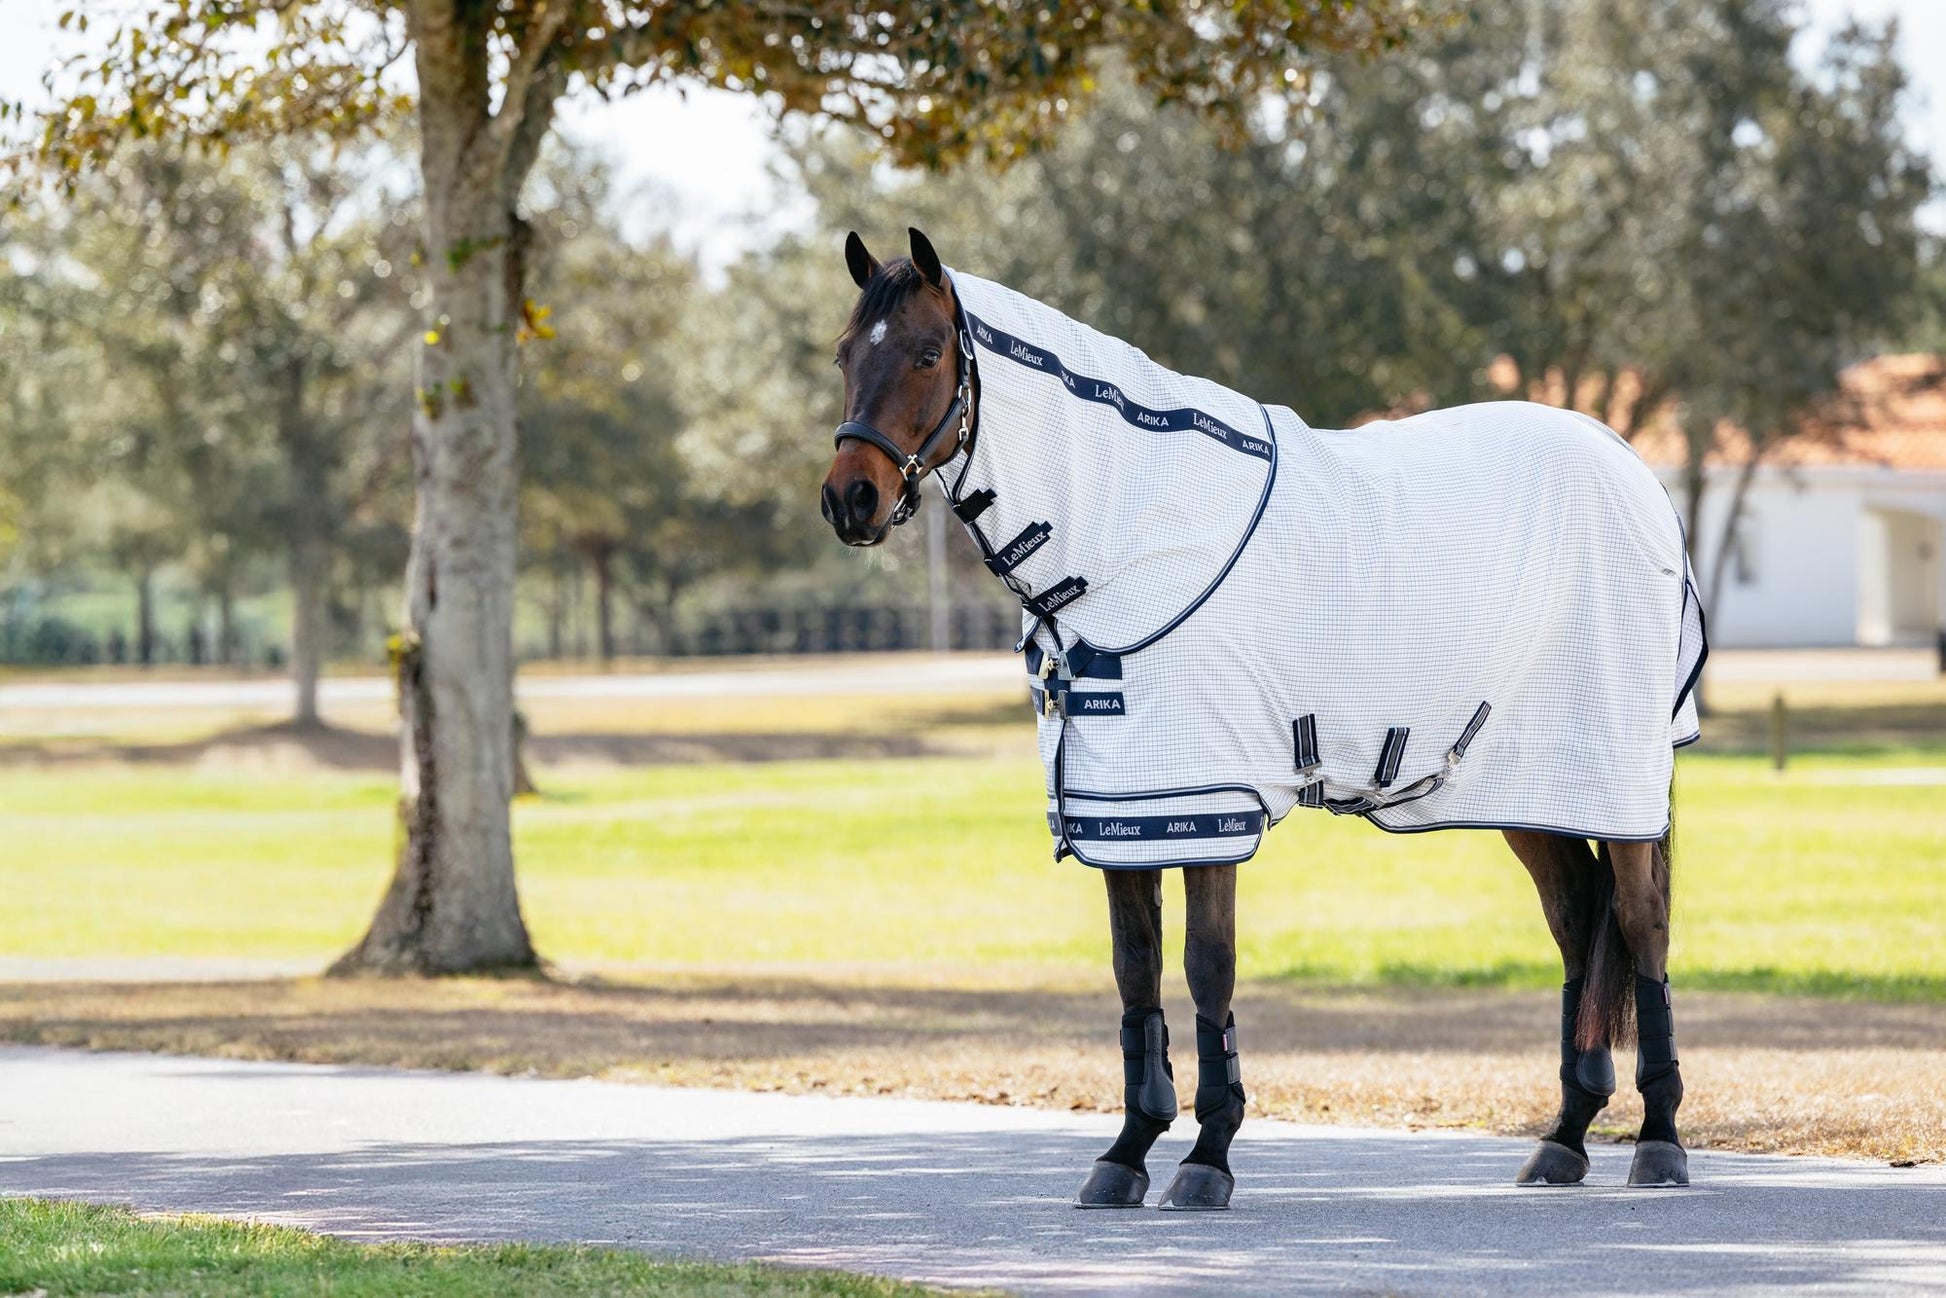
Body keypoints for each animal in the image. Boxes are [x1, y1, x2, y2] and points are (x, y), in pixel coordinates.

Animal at [820, 227, 1703, 1211]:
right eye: (846, 354)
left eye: (928, 353)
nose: (850, 499)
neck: (1136, 535)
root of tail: (1630, 469)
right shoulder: (1123, 807)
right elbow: (1135, 969)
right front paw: (1126, 1152)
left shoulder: (1210, 801)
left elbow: (1208, 966)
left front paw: (1207, 1155)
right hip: (1529, 786)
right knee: (1578, 922)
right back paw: (1564, 1137)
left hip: (1619, 778)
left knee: (1642, 924)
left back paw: (1659, 1141)